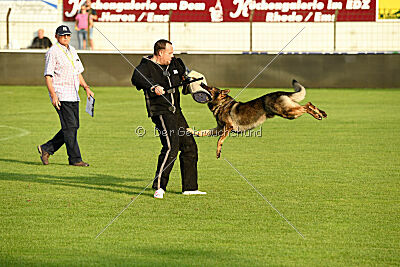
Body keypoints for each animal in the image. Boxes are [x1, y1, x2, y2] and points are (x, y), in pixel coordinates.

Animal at [186, 80, 326, 159]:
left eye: (210, 88)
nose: (202, 83)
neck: (221, 104)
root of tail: (280, 92)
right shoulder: (219, 129)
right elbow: (203, 132)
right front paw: (192, 131)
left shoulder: (227, 128)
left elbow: (219, 141)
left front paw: (218, 152)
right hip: (290, 111)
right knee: (308, 104)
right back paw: (321, 113)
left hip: (287, 113)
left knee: (307, 105)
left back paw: (318, 114)